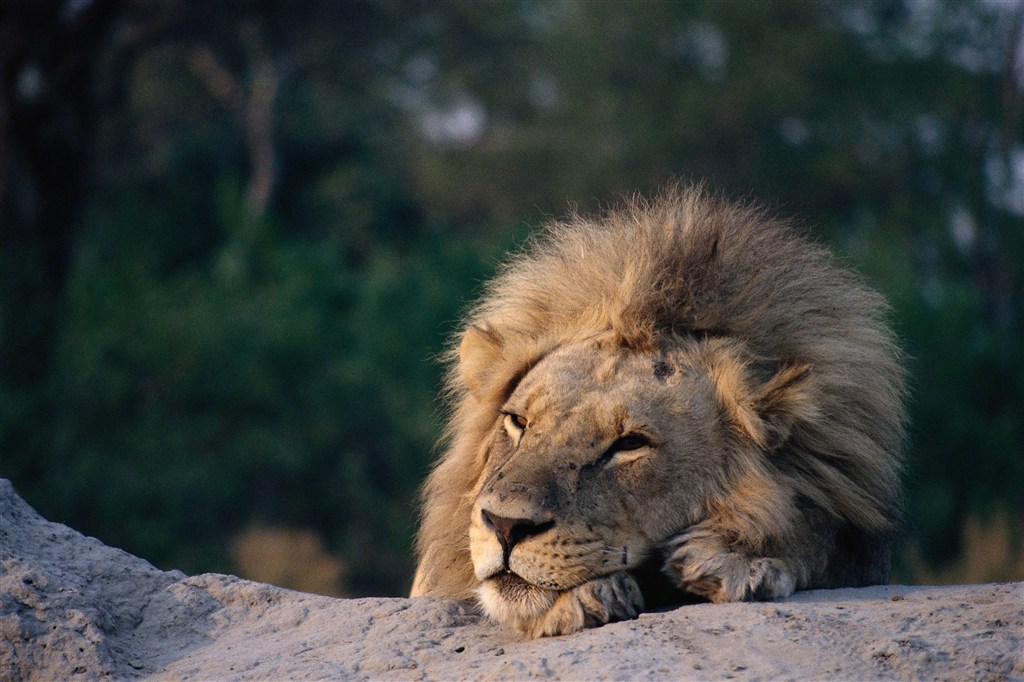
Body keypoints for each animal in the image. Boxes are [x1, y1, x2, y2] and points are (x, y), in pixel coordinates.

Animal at [407, 183, 905, 634]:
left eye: (630, 444)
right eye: (518, 422)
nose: (505, 526)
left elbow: (818, 531)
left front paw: (734, 556)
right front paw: (577, 600)